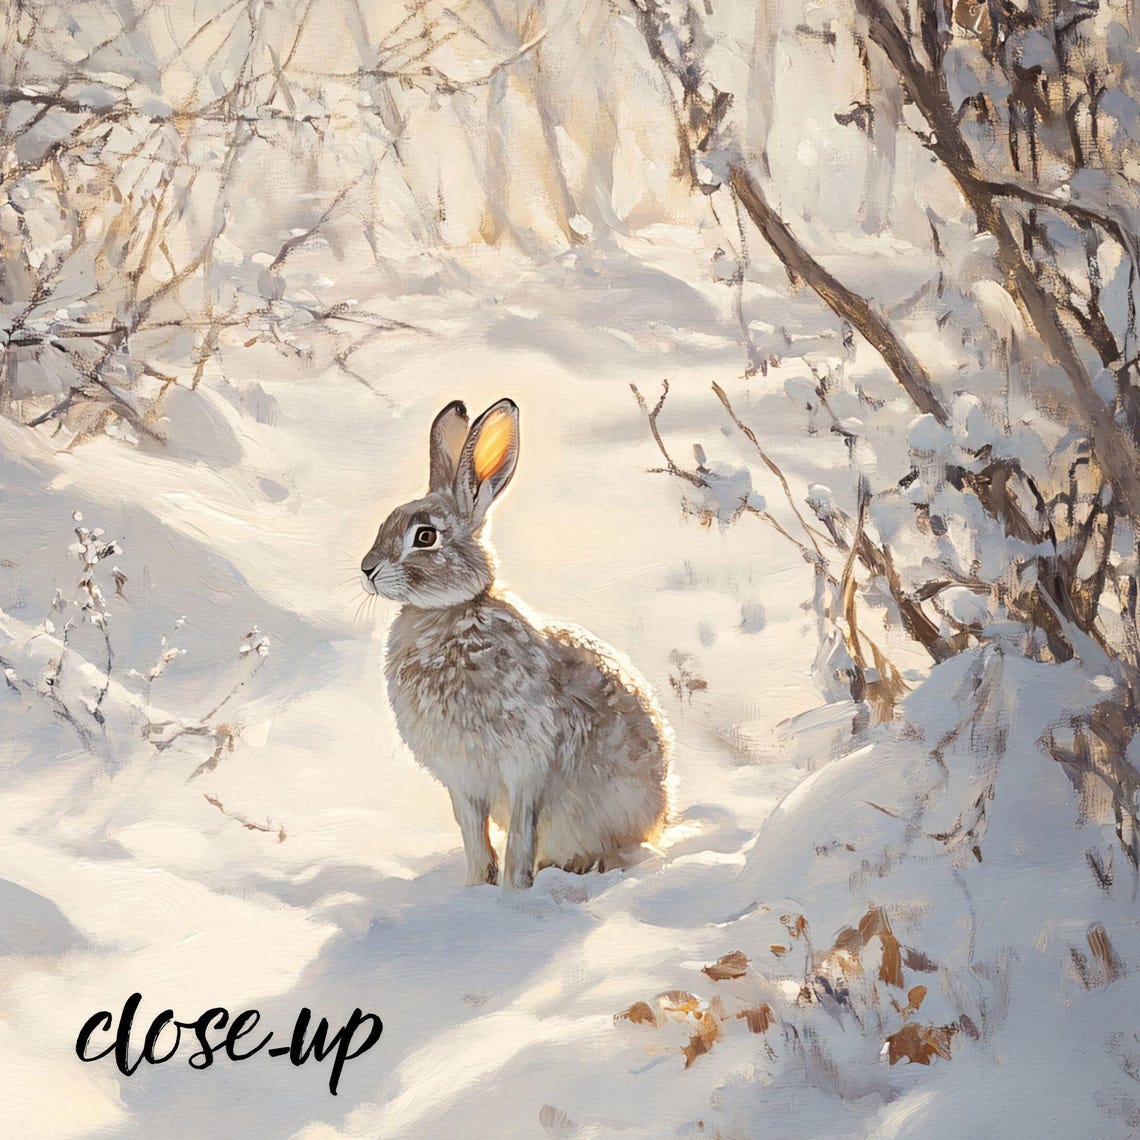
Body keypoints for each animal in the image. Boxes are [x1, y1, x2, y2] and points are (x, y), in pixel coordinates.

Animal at [360, 398, 672, 890]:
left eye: (425, 536)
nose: (366, 569)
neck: (453, 612)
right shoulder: (463, 780)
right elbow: (475, 841)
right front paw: (474, 891)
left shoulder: (526, 768)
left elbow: (520, 842)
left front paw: (513, 894)